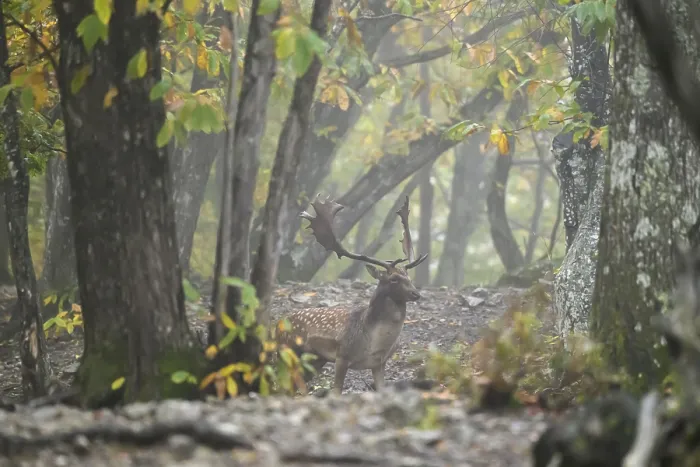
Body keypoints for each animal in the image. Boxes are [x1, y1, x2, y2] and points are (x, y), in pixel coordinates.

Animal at [277, 194, 428, 394]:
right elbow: (336, 391)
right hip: (290, 351)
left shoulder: (379, 363)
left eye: (408, 276)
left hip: (315, 360)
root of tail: (275, 327)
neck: (374, 343)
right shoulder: (342, 355)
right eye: (394, 279)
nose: (415, 293)